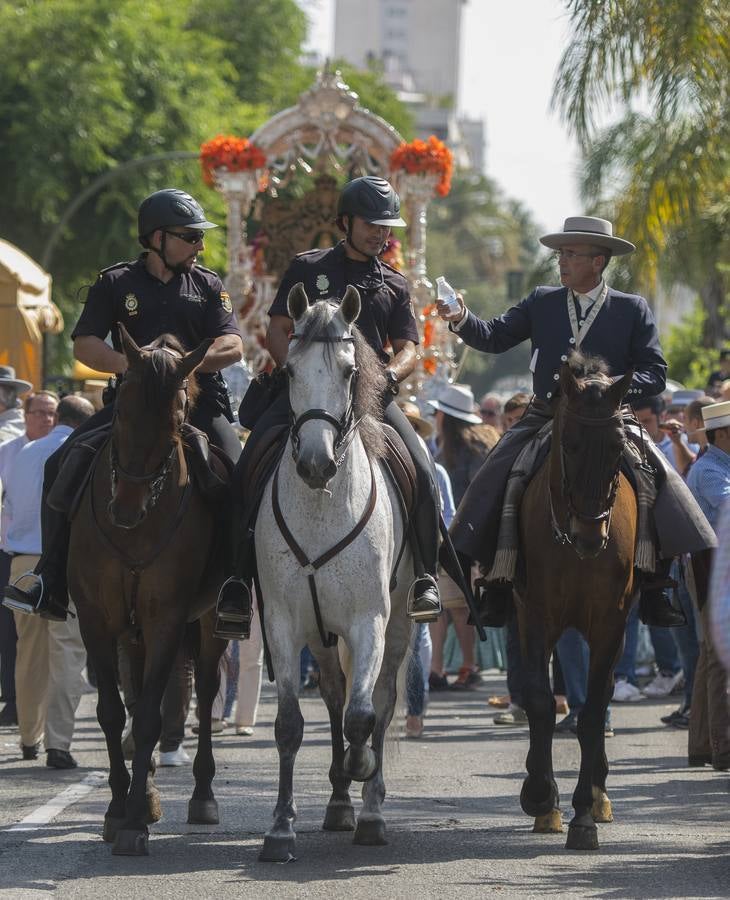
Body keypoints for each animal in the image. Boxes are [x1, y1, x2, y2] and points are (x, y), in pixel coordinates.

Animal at [69, 326, 228, 856]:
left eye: (176, 422)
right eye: (120, 411)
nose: (125, 510)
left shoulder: (165, 617)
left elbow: (150, 719)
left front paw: (136, 817)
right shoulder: (96, 618)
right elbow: (113, 712)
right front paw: (119, 808)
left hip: (210, 621)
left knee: (205, 692)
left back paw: (201, 795)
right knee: (136, 700)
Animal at [256, 284, 412, 860]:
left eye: (349, 371)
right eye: (290, 370)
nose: (316, 464)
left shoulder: (371, 621)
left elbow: (365, 716)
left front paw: (362, 768)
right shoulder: (281, 621)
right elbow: (288, 725)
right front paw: (281, 828)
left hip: (400, 624)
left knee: (379, 703)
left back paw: (368, 808)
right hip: (320, 636)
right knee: (334, 693)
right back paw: (341, 802)